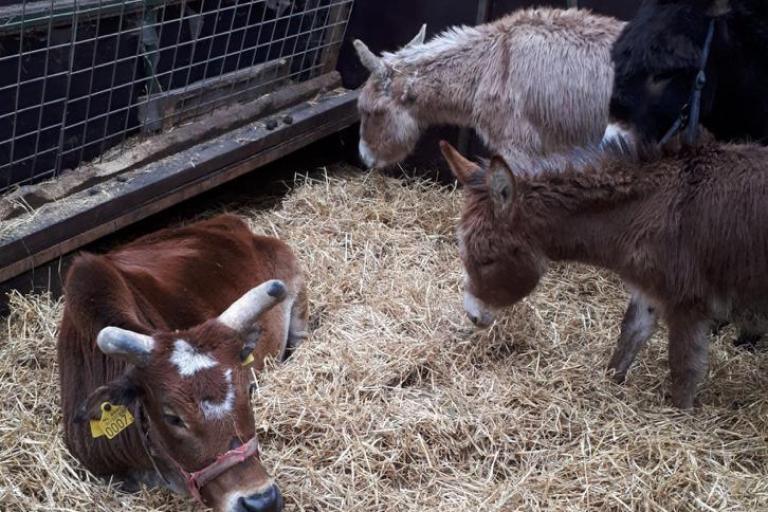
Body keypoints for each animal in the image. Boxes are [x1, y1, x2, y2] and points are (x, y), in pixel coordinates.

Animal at [440, 138, 768, 410]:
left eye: (487, 259)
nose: (472, 316)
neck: (650, 209)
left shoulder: (688, 302)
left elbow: (684, 369)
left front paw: (682, 420)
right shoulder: (650, 290)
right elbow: (629, 337)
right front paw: (611, 384)